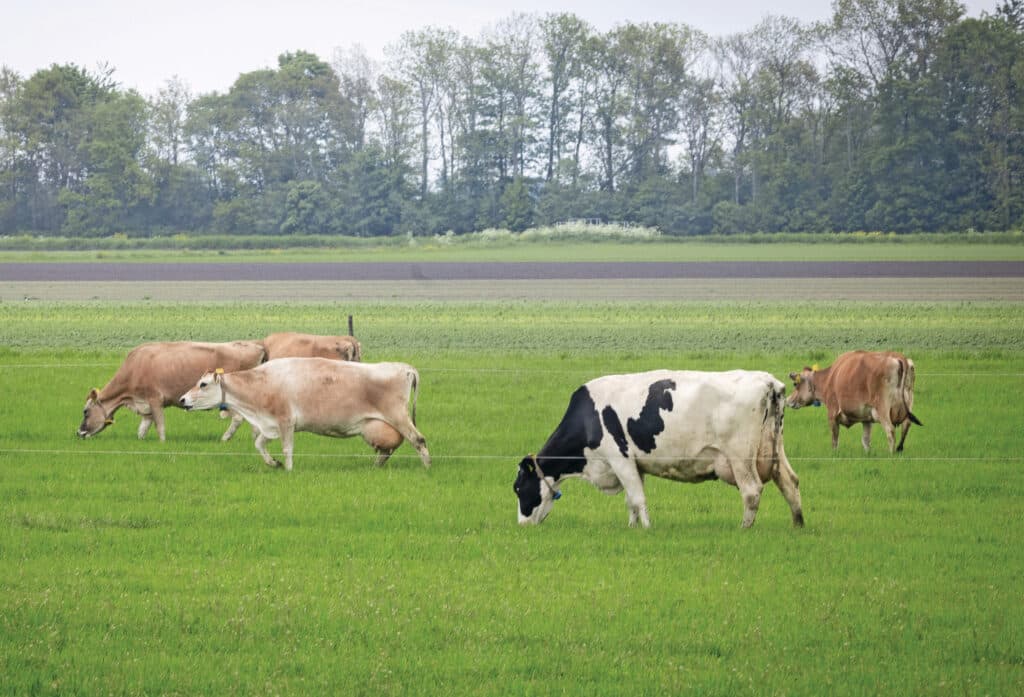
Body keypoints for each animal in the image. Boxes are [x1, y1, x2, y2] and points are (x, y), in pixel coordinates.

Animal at [77, 341, 266, 441]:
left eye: (85, 411)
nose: (79, 433)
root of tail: (255, 344)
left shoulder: (155, 399)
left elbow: (160, 426)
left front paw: (162, 443)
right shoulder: (145, 405)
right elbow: (142, 429)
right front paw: (141, 441)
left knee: (238, 419)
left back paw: (225, 439)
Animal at [179, 357, 430, 471]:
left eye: (202, 384)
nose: (182, 400)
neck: (262, 383)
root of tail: (405, 367)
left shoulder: (285, 421)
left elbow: (287, 448)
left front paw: (289, 470)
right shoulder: (270, 424)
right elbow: (259, 444)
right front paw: (274, 463)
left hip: (398, 417)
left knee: (418, 440)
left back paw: (427, 467)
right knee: (388, 449)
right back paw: (375, 466)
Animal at [513, 370, 804, 529]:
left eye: (518, 488)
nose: (522, 524)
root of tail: (768, 381)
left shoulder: (619, 457)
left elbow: (638, 498)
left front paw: (646, 529)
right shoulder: (635, 464)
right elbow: (631, 499)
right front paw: (632, 526)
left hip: (740, 456)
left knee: (751, 491)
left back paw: (744, 528)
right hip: (775, 448)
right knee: (790, 482)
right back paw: (798, 524)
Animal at [787, 350, 922, 453]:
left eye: (795, 384)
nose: (788, 400)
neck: (830, 377)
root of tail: (898, 357)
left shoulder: (832, 413)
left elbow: (834, 440)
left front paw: (834, 454)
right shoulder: (867, 419)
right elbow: (866, 440)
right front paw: (867, 454)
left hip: (883, 408)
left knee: (890, 431)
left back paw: (891, 454)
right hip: (908, 402)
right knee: (906, 426)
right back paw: (899, 449)